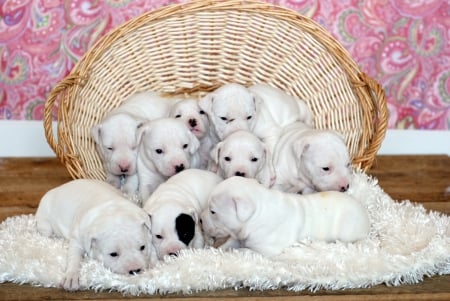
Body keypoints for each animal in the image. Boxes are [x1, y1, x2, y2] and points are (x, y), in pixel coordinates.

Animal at [200, 176, 370, 255]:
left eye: (213, 211)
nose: (200, 220)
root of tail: (366, 216)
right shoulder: (238, 236)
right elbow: (230, 243)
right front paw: (215, 250)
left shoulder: (266, 250)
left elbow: (245, 251)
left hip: (348, 233)